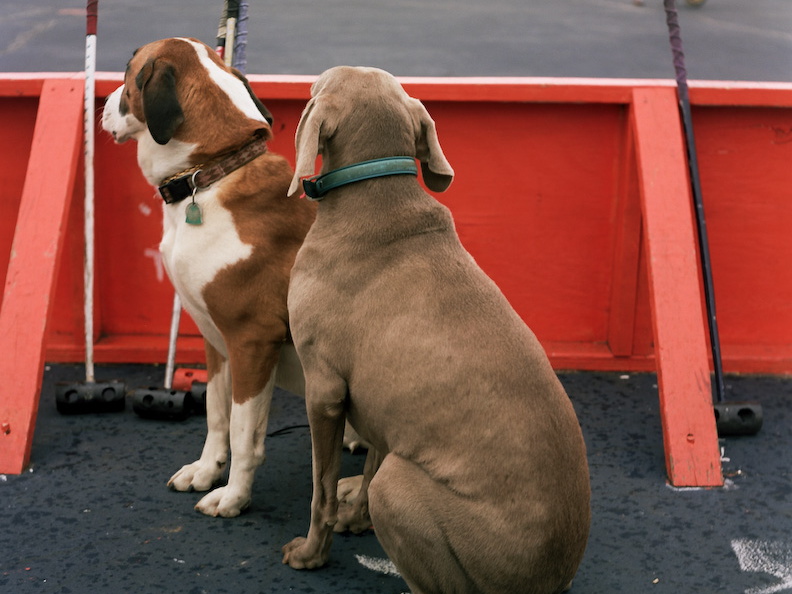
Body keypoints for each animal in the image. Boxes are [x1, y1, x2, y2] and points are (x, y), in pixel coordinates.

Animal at [102, 39, 316, 516]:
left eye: (127, 72)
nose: (103, 104)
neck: (212, 172)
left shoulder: (251, 340)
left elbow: (243, 432)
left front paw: (234, 496)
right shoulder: (216, 340)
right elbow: (217, 416)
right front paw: (206, 470)